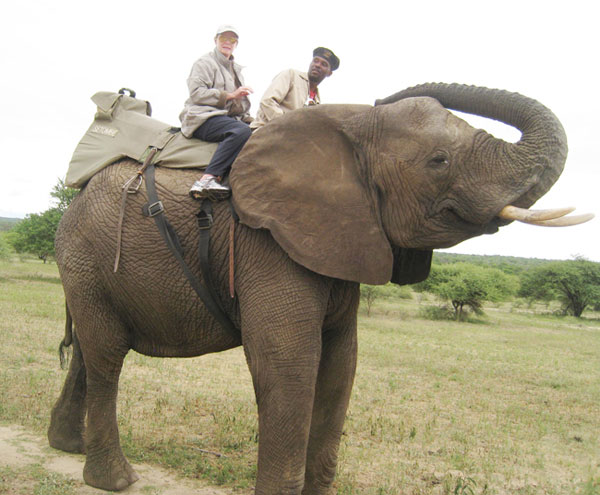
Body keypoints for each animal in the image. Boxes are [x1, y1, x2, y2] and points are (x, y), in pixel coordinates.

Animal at [48, 83, 576, 494]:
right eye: (439, 161)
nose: (384, 96)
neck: (348, 133)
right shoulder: (267, 244)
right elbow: (290, 364)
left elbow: (341, 364)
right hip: (86, 253)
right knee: (107, 355)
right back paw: (114, 479)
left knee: (90, 350)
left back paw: (67, 446)